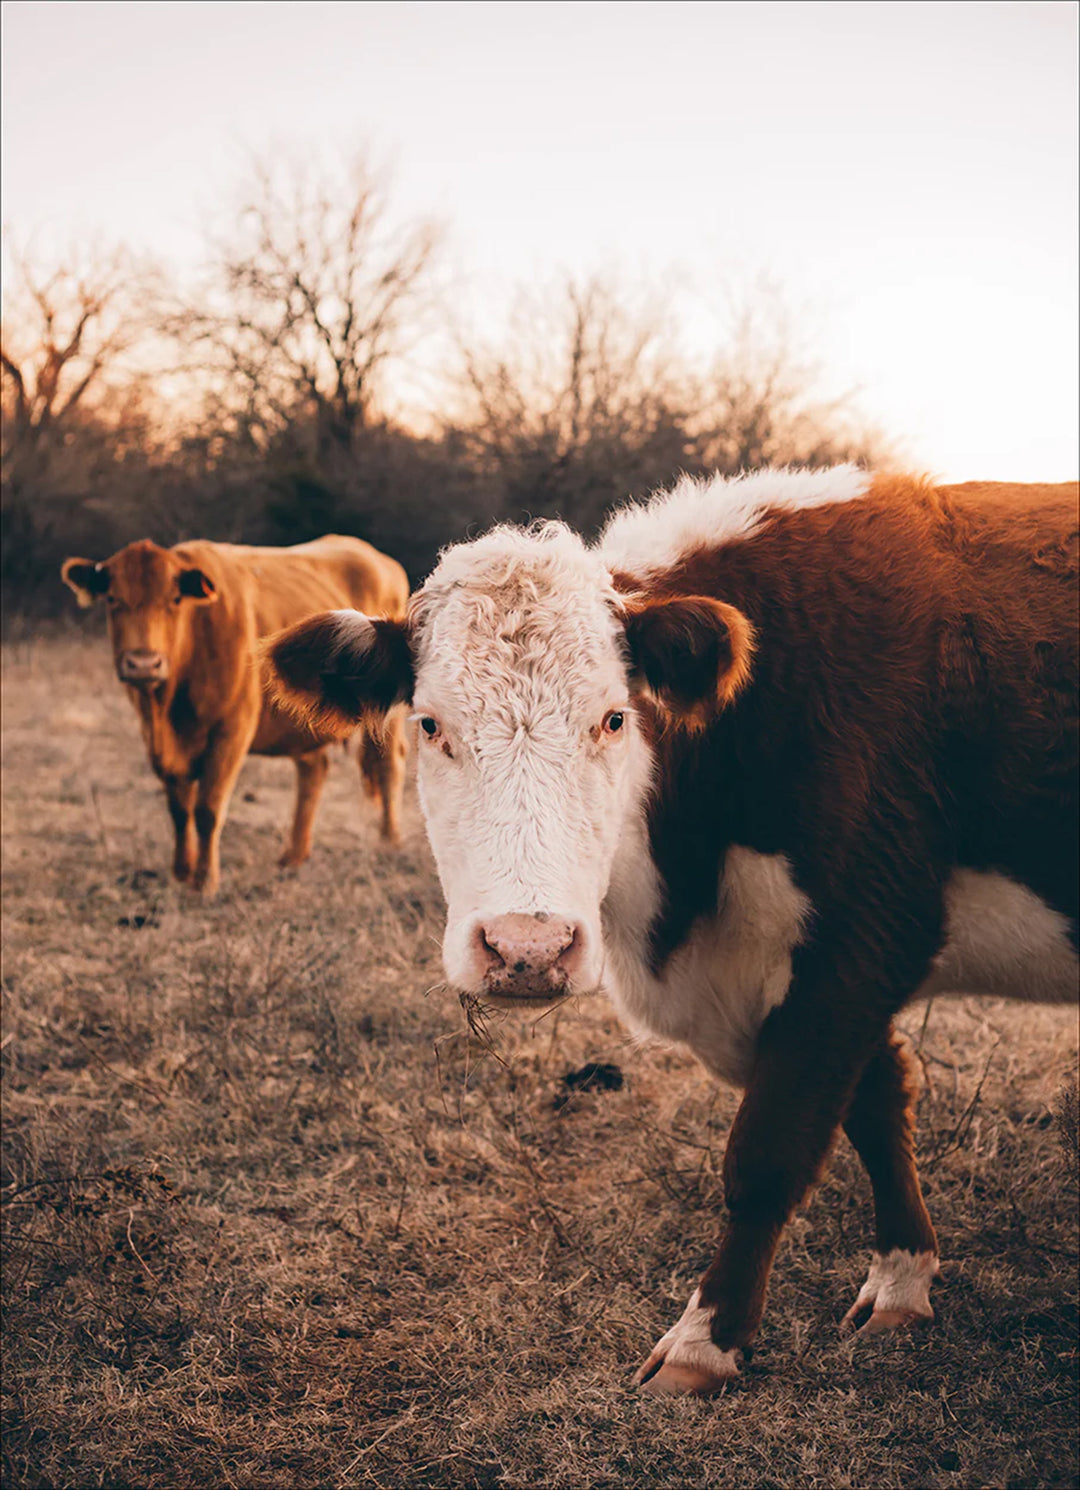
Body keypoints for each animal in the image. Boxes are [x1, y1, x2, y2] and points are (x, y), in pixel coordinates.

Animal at [61, 534, 409, 895]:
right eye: (113, 599)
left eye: (174, 600)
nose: (143, 664)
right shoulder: (156, 739)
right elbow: (178, 808)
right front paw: (181, 872)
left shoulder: (231, 732)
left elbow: (207, 808)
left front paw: (205, 881)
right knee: (313, 771)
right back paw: (295, 855)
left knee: (389, 764)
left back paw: (389, 841)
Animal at [262, 468, 1078, 1395]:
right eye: (430, 724)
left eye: (615, 718)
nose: (527, 949)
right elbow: (875, 1104)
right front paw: (903, 1279)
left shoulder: (861, 942)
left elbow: (770, 1150)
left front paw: (705, 1341)